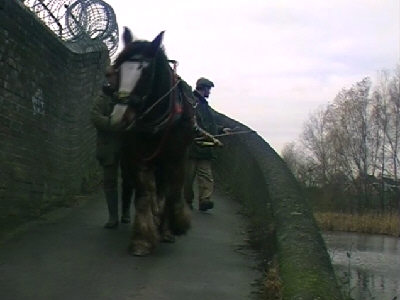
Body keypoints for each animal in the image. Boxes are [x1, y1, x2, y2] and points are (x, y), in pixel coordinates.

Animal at [108, 28, 197, 255]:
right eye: (118, 70)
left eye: (146, 73)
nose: (119, 117)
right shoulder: (138, 157)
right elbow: (144, 194)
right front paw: (142, 238)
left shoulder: (176, 158)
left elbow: (172, 194)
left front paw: (174, 225)